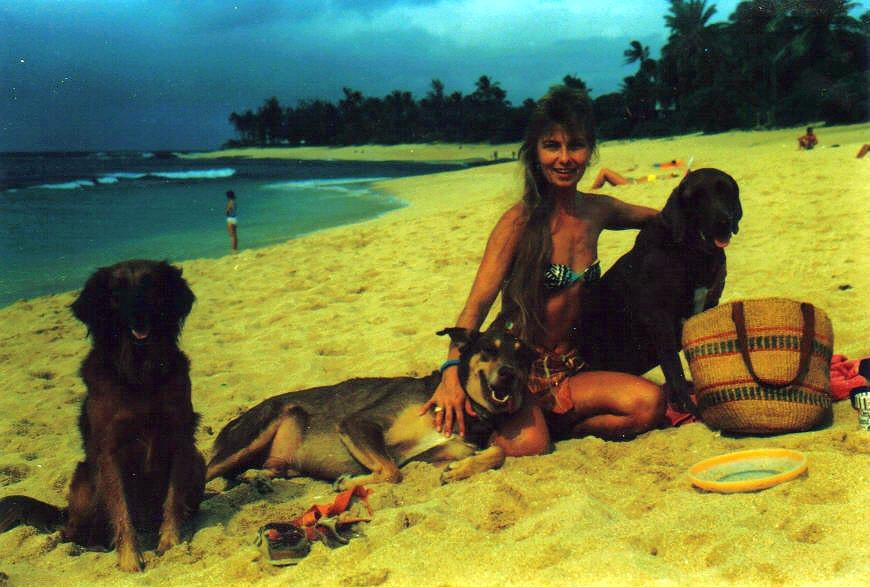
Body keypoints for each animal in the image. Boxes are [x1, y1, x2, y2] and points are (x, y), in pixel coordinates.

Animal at [0, 260, 206, 572]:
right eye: (116, 292)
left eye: (150, 284)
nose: (138, 313)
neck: (140, 371)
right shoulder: (110, 450)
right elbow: (120, 510)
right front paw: (130, 559)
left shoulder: (180, 438)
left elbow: (172, 499)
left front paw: (171, 544)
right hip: (86, 482)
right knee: (70, 533)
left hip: (198, 462)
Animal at [208, 322, 536, 492]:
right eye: (488, 349)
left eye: (521, 356)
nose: (508, 373)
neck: (470, 410)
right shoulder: (359, 423)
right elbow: (391, 471)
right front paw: (347, 482)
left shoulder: (435, 455)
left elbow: (497, 451)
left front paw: (458, 471)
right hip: (254, 433)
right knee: (209, 472)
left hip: (281, 461)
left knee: (263, 470)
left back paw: (257, 479)